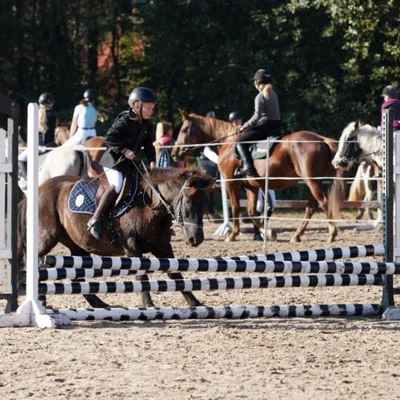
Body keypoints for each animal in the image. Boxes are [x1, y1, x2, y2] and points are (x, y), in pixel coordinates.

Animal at [18, 167, 216, 308]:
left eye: (205, 202)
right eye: (189, 201)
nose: (195, 239)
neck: (149, 203)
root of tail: (39, 189)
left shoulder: (162, 246)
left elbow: (175, 273)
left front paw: (195, 302)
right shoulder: (132, 247)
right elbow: (141, 275)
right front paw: (148, 304)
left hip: (77, 245)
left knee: (76, 277)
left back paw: (99, 304)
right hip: (47, 238)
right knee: (36, 262)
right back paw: (41, 300)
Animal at [172, 111, 344, 244]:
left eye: (184, 129)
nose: (174, 154)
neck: (228, 143)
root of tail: (321, 139)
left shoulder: (231, 182)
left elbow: (235, 207)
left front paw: (232, 235)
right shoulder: (251, 187)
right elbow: (251, 211)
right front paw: (268, 233)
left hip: (311, 181)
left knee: (323, 202)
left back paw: (332, 233)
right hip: (314, 181)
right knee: (311, 207)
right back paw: (296, 235)